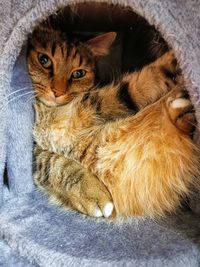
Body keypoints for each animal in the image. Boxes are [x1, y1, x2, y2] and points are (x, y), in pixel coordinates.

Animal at [27, 26, 198, 220]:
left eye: (78, 73)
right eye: (44, 60)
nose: (57, 92)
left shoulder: (96, 103)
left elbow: (139, 85)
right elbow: (53, 162)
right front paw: (92, 192)